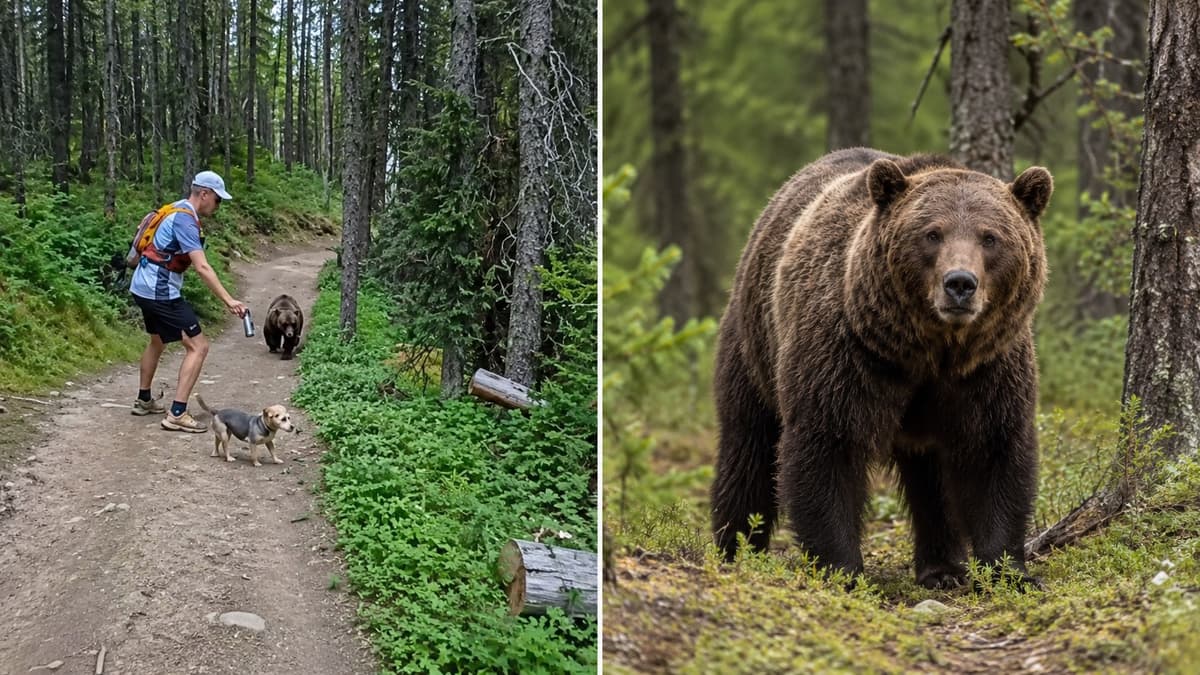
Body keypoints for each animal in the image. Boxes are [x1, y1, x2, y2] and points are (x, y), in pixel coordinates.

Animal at [710, 148, 1053, 589]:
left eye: (990, 237)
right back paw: (735, 548)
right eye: (932, 234)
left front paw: (1010, 570)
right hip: (754, 344)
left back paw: (942, 567)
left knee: (931, 478)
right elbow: (829, 446)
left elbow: (993, 451)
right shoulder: (847, 356)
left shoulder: (987, 368)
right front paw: (842, 569)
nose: (960, 283)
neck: (930, 350)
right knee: (747, 447)